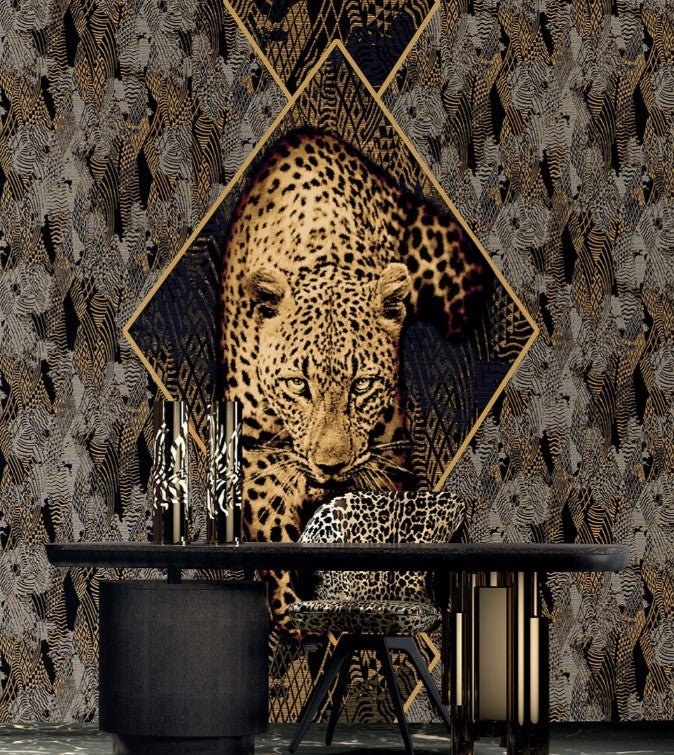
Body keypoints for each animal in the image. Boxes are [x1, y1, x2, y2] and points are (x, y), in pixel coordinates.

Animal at [220, 128, 486, 633]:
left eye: (361, 385)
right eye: (298, 385)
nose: (330, 466)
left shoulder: (387, 457)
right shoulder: (258, 452)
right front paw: (293, 610)